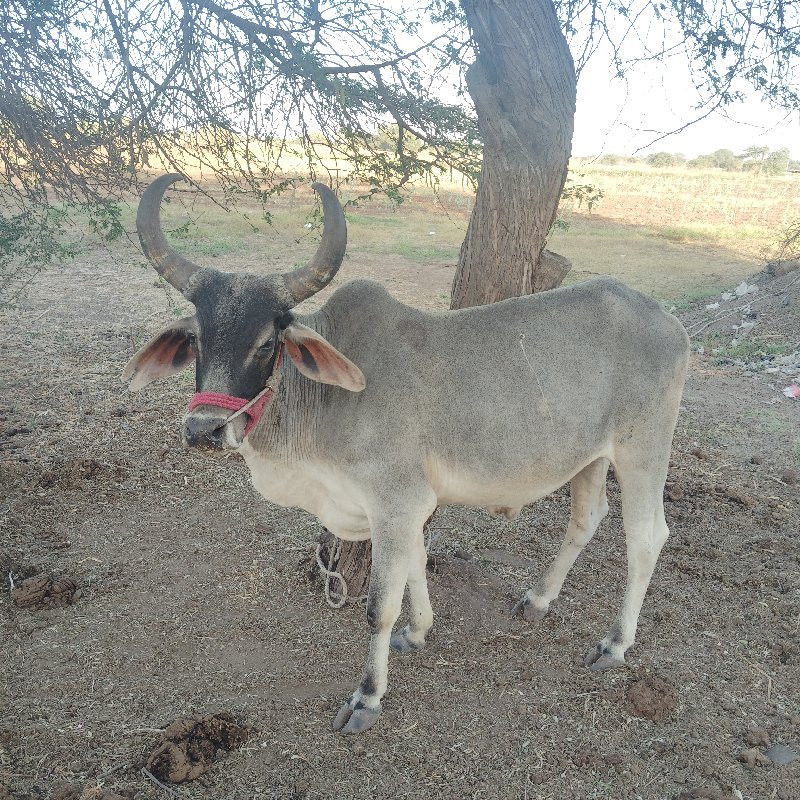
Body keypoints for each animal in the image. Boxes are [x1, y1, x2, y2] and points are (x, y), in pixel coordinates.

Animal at [123, 173, 688, 732]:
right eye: (195, 339)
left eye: (266, 342)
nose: (204, 430)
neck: (326, 401)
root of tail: (667, 320)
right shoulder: (405, 508)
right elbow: (415, 566)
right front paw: (418, 632)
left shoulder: (396, 502)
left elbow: (379, 607)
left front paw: (367, 698)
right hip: (589, 457)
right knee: (586, 519)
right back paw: (538, 598)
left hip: (642, 449)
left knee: (646, 537)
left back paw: (614, 644)